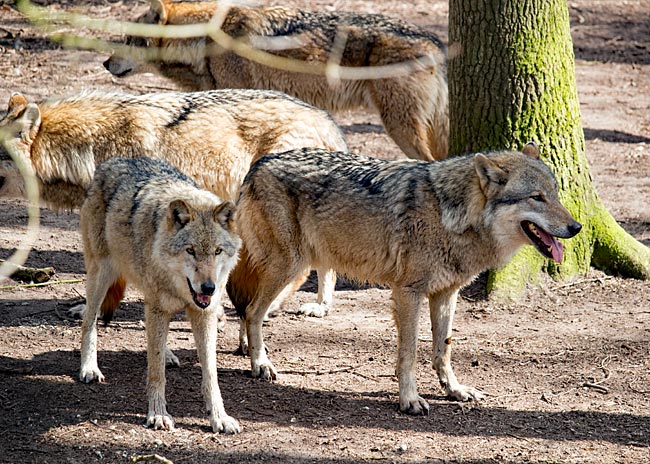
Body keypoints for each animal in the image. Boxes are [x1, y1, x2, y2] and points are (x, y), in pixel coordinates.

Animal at [79, 158, 240, 434]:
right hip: (101, 276)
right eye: (190, 250)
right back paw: (89, 367)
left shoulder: (204, 313)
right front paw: (157, 414)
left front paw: (219, 417)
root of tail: (113, 161)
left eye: (217, 251)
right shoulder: (158, 307)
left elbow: (210, 373)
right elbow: (156, 373)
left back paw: (168, 354)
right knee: (88, 321)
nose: (209, 288)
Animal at [225, 143, 580, 416]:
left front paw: (454, 390)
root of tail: (259, 163)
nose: (576, 227)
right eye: (536, 198)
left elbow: (443, 349)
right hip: (288, 268)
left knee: (247, 308)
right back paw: (260, 364)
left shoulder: (446, 294)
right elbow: (409, 353)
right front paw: (410, 400)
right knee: (253, 311)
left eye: (555, 194)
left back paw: (246, 351)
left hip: (293, 268)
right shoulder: (409, 293)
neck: (450, 215)